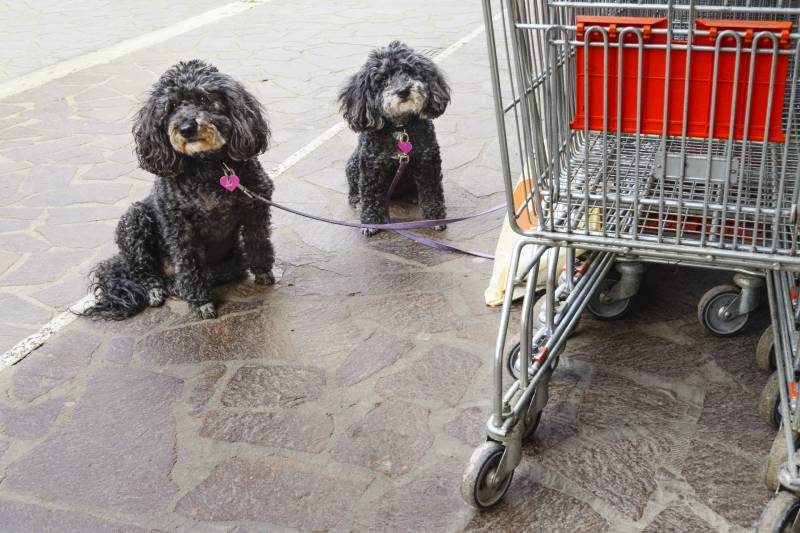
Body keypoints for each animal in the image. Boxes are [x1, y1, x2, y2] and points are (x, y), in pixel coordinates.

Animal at [82, 61, 274, 320]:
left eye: (203, 98)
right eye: (171, 106)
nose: (186, 127)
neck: (210, 168)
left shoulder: (256, 208)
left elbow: (258, 241)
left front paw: (263, 272)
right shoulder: (180, 227)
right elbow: (189, 265)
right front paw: (201, 302)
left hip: (231, 261)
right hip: (134, 221)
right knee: (145, 271)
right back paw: (157, 290)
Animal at [338, 40, 450, 234]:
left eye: (409, 71)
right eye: (382, 80)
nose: (403, 90)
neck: (400, 128)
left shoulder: (428, 163)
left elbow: (432, 194)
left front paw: (435, 219)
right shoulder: (371, 168)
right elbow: (369, 197)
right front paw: (370, 223)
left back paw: (413, 196)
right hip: (353, 165)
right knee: (354, 189)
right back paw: (356, 200)